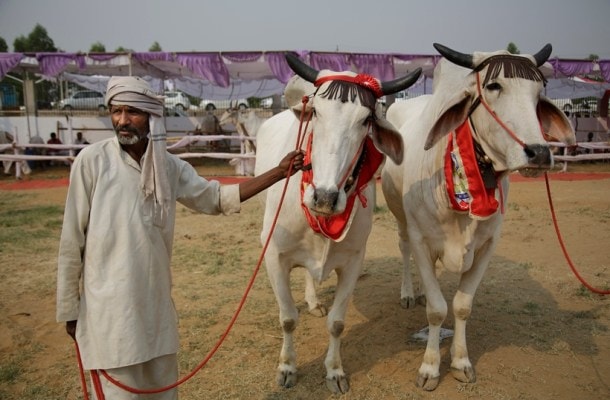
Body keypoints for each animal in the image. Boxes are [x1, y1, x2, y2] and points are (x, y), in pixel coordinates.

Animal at [254, 54, 420, 394]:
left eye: (365, 120)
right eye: (317, 112)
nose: (325, 197)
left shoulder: (353, 260)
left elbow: (338, 323)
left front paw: (334, 371)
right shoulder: (273, 255)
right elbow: (287, 318)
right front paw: (287, 367)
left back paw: (314, 301)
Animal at [380, 43, 576, 390]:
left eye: (539, 92)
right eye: (494, 86)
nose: (539, 152)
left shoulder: (487, 245)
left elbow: (461, 305)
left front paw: (460, 362)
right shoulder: (421, 239)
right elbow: (436, 309)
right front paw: (430, 368)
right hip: (401, 219)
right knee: (403, 250)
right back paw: (408, 293)